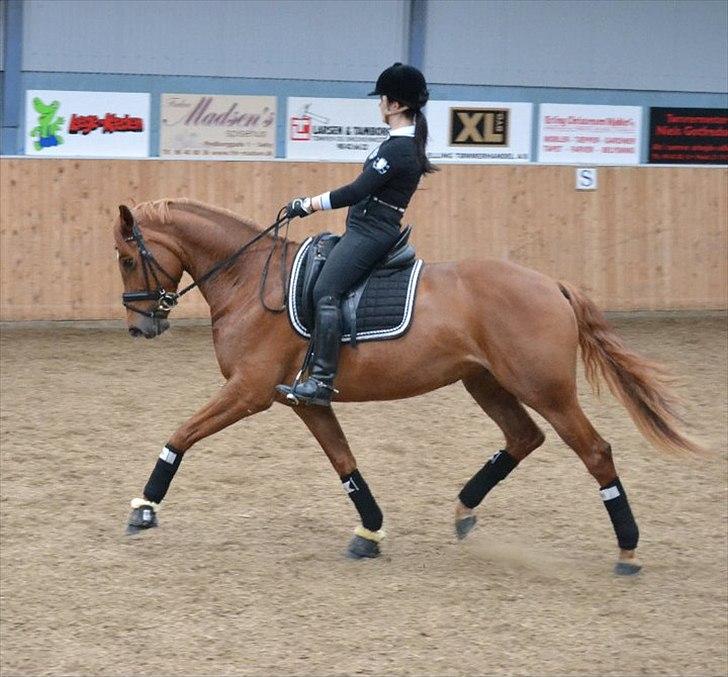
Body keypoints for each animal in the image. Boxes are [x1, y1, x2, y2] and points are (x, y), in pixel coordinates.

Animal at [112, 198, 700, 572]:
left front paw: (144, 508)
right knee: (523, 438)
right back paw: (464, 512)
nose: (140, 328)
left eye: (126, 258)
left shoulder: (250, 391)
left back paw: (627, 551)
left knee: (594, 452)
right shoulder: (302, 401)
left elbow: (181, 435)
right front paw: (369, 533)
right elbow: (345, 463)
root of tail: (553, 285)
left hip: (546, 390)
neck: (251, 281)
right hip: (485, 382)